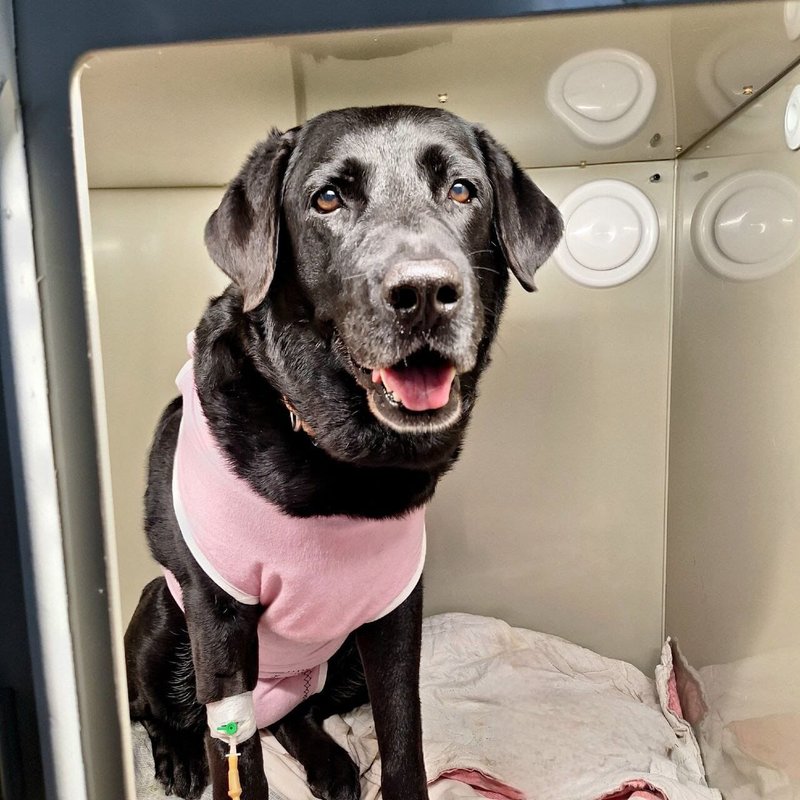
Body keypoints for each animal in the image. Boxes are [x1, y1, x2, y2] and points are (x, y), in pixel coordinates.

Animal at [124, 105, 562, 800]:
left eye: (462, 191)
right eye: (327, 198)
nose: (424, 293)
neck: (340, 465)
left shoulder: (396, 607)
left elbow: (403, 731)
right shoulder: (216, 613)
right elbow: (238, 761)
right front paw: (208, 762)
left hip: (339, 660)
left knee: (294, 714)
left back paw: (329, 763)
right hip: (163, 619)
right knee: (163, 709)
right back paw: (179, 759)